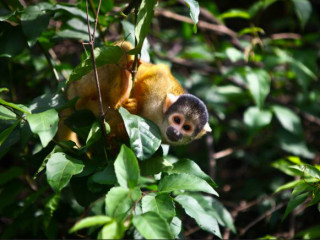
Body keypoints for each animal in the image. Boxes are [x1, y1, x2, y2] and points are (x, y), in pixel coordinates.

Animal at [58, 41, 211, 145]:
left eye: (186, 127)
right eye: (177, 120)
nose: (176, 132)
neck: (160, 119)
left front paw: (122, 132)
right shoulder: (161, 88)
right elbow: (157, 72)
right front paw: (134, 107)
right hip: (85, 78)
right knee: (122, 50)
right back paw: (123, 89)